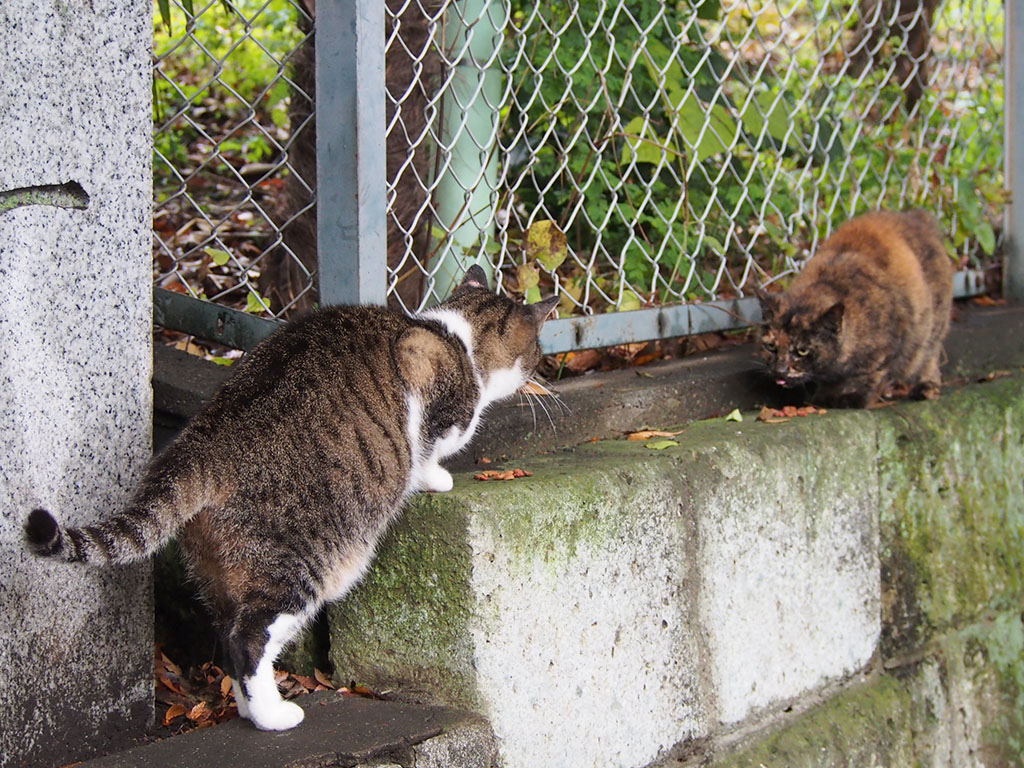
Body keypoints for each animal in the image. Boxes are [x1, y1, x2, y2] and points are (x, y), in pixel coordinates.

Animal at [24, 266, 557, 733]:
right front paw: (435, 477)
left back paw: (247, 706)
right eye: (537, 347)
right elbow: (424, 452)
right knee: (248, 640)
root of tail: (201, 449)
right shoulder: (432, 405)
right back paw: (272, 717)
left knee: (228, 637)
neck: (455, 336)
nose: (544, 372)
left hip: (222, 571)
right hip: (303, 564)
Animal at [757, 207, 954, 405]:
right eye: (771, 347)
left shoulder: (892, 344)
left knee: (929, 354)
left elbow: (870, 374)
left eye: (802, 351)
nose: (780, 370)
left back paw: (927, 387)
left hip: (931, 328)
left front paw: (852, 398)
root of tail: (917, 216)